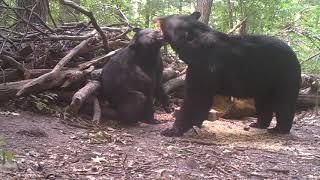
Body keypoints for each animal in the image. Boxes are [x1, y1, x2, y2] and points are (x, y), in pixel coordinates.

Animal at [154, 12, 302, 136]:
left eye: (167, 21)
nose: (156, 18)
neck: (194, 47)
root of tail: (294, 55)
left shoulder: (205, 66)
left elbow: (196, 98)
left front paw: (172, 130)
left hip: (284, 76)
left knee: (284, 102)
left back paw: (279, 129)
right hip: (265, 84)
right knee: (263, 102)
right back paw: (258, 124)